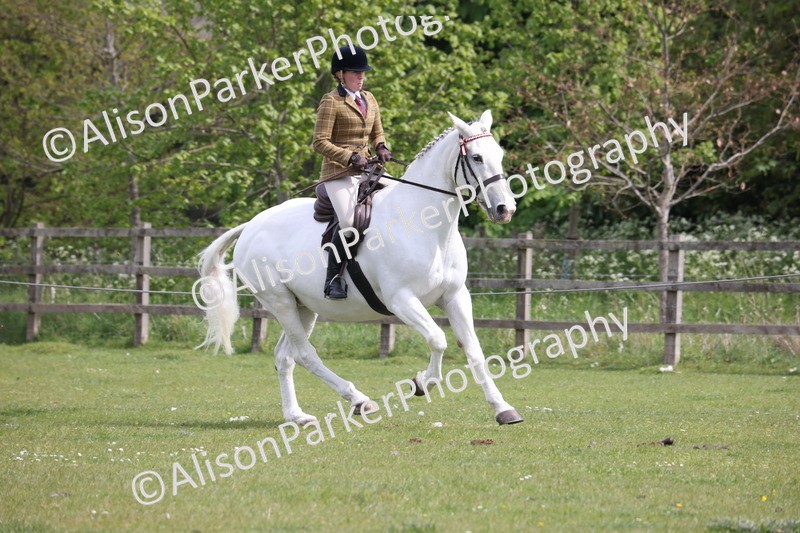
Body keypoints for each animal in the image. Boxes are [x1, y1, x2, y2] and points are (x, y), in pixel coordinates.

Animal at [196, 109, 524, 426]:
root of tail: (251, 225)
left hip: (304, 307)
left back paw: (297, 416)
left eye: (499, 154)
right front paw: (422, 383)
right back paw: (359, 400)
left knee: (285, 357)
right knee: (305, 354)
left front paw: (503, 409)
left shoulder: (455, 296)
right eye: (476, 157)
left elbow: (474, 350)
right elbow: (438, 339)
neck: (424, 224)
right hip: (281, 302)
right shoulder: (401, 300)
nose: (505, 210)